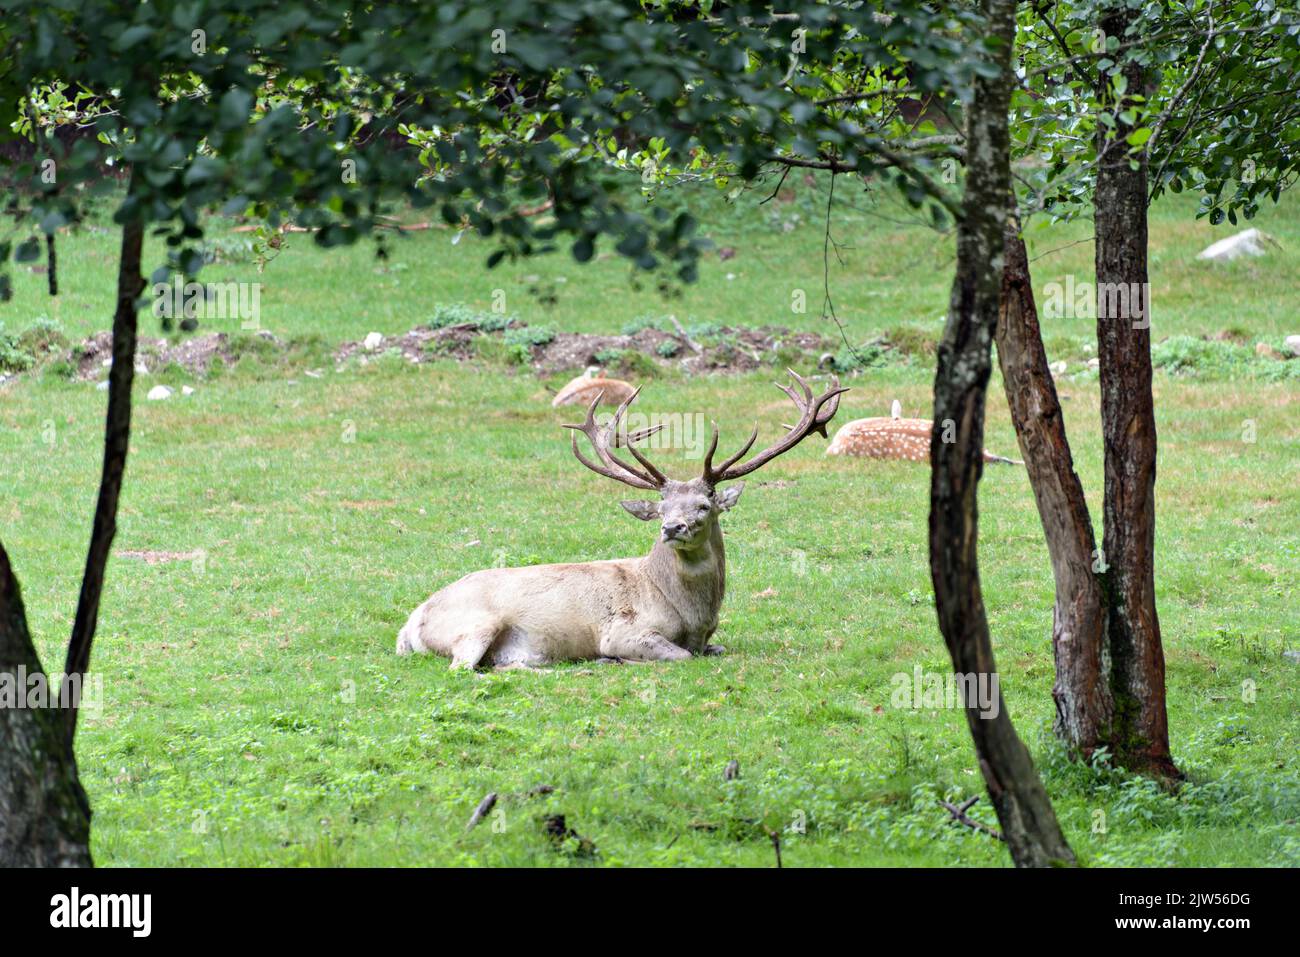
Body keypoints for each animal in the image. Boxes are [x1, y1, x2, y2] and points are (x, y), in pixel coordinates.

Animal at [395, 369, 842, 670]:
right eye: (661, 508)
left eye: (705, 504)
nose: (672, 528)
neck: (694, 617)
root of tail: (411, 623)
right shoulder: (624, 631)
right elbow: (681, 656)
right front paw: (618, 659)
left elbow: (716, 649)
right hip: (475, 625)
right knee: (463, 668)